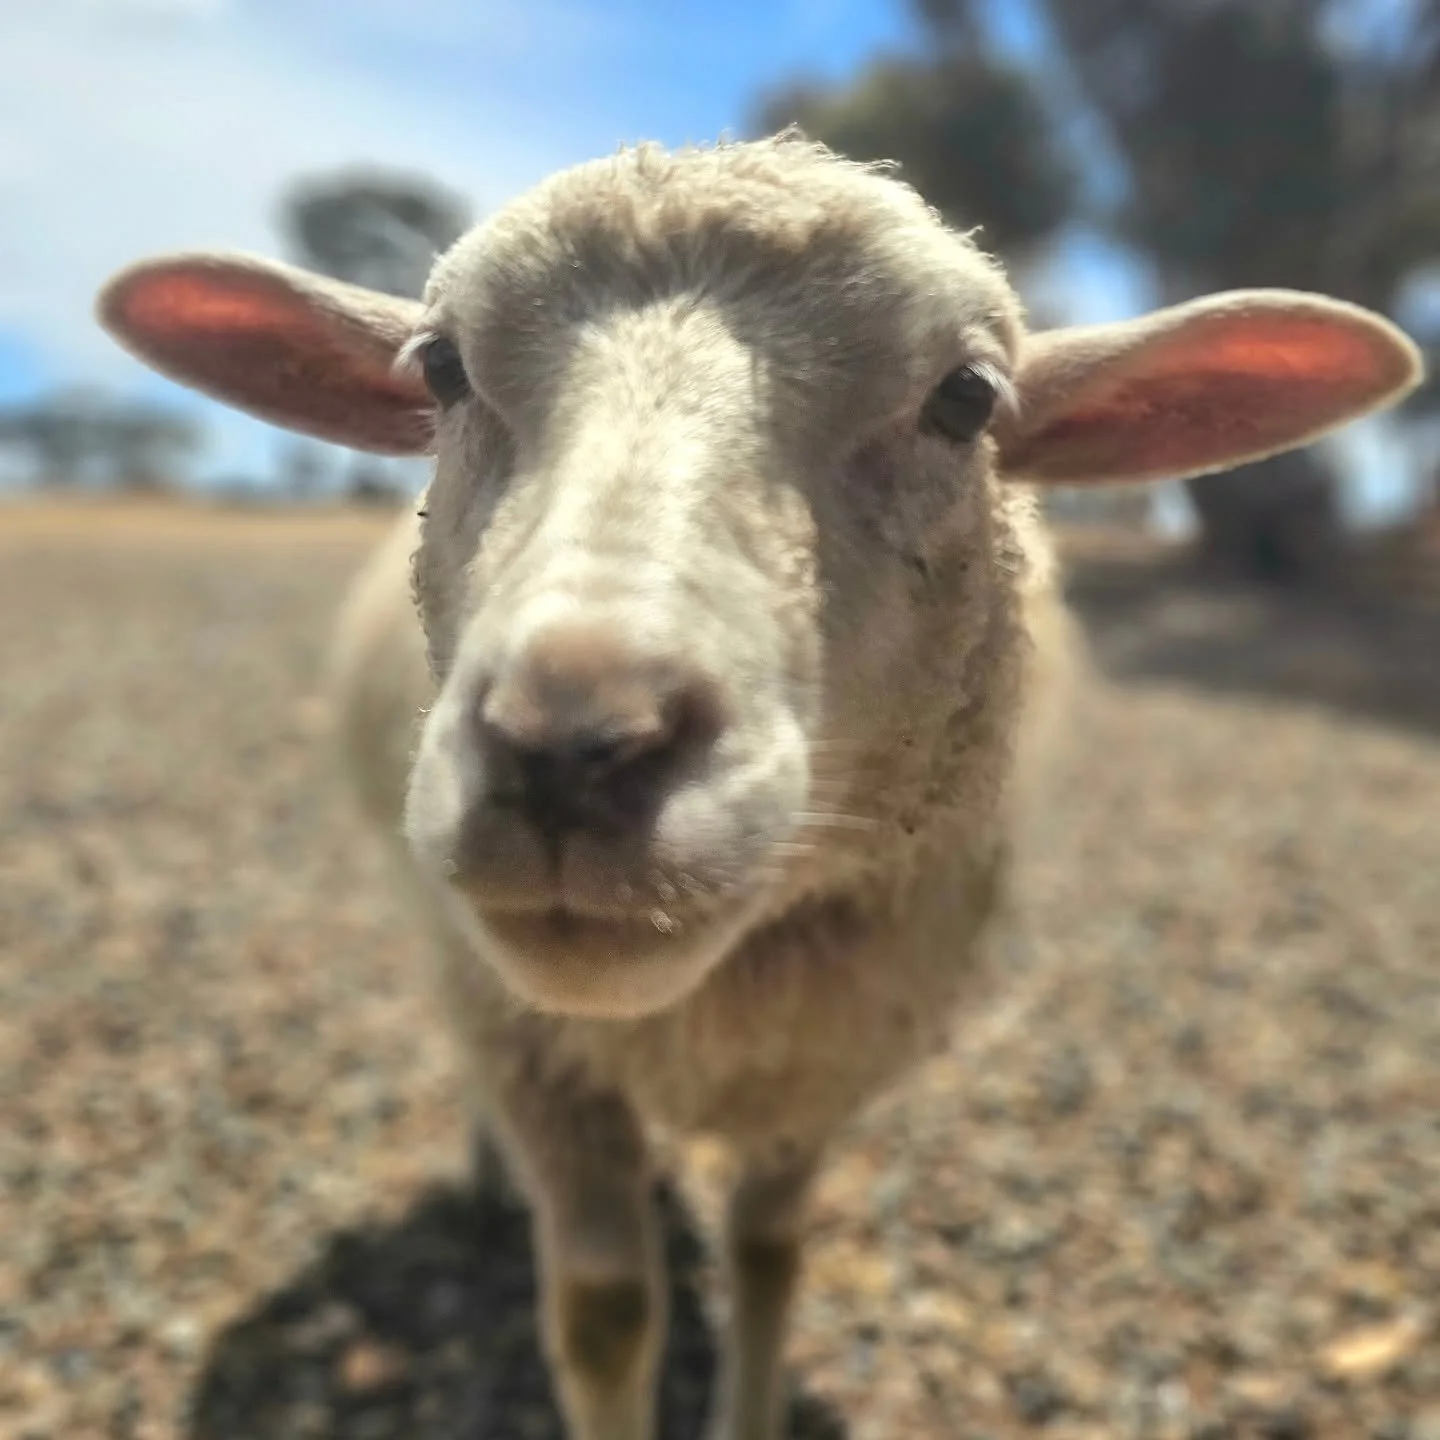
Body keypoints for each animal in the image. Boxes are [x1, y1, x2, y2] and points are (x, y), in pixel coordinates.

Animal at [95, 134, 1423, 1440]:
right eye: (442, 370)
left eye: (967, 399)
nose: (571, 742)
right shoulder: (541, 1053)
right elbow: (606, 1312)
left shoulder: (822, 1062)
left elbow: (770, 1259)